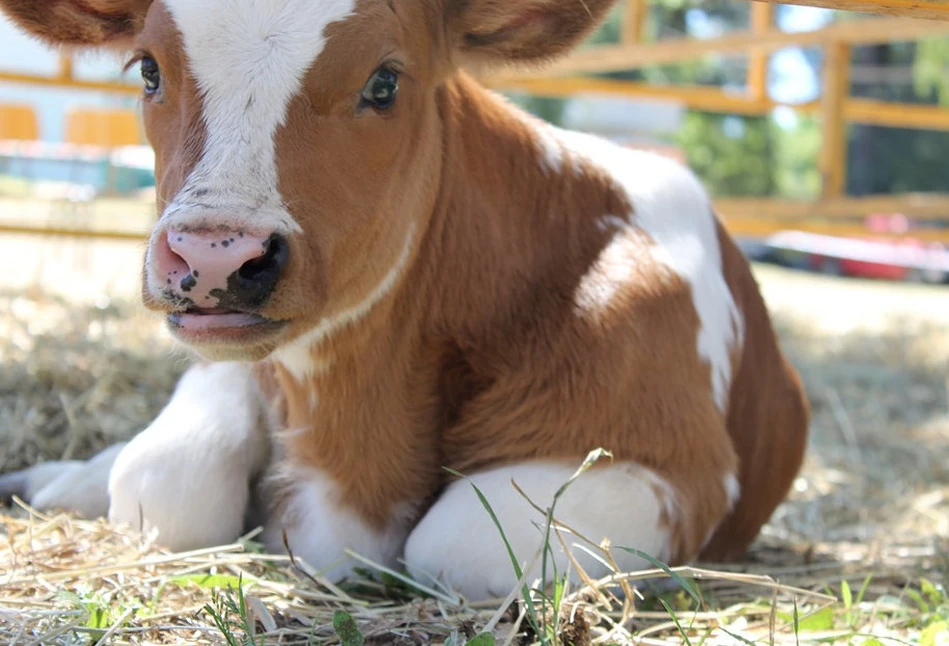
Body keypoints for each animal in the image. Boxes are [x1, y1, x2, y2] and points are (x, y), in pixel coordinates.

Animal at [0, 0, 808, 604]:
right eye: (148, 69)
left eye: (385, 82)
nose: (214, 255)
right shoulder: (233, 363)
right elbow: (166, 481)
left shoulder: (675, 462)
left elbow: (456, 543)